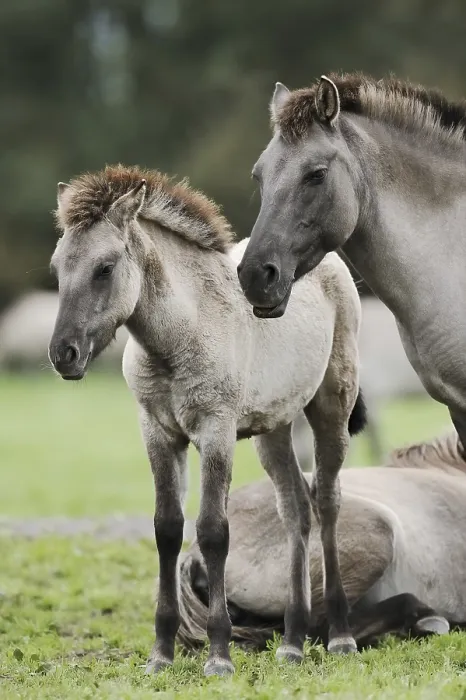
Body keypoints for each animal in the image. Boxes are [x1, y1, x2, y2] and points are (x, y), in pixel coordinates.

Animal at [48, 164, 366, 676]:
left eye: (105, 268)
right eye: (57, 268)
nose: (63, 354)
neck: (180, 335)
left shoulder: (215, 432)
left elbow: (213, 532)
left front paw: (219, 656)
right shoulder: (158, 433)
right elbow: (167, 528)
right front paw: (160, 654)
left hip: (331, 408)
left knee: (328, 502)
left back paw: (339, 635)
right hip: (273, 430)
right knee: (296, 509)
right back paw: (292, 643)